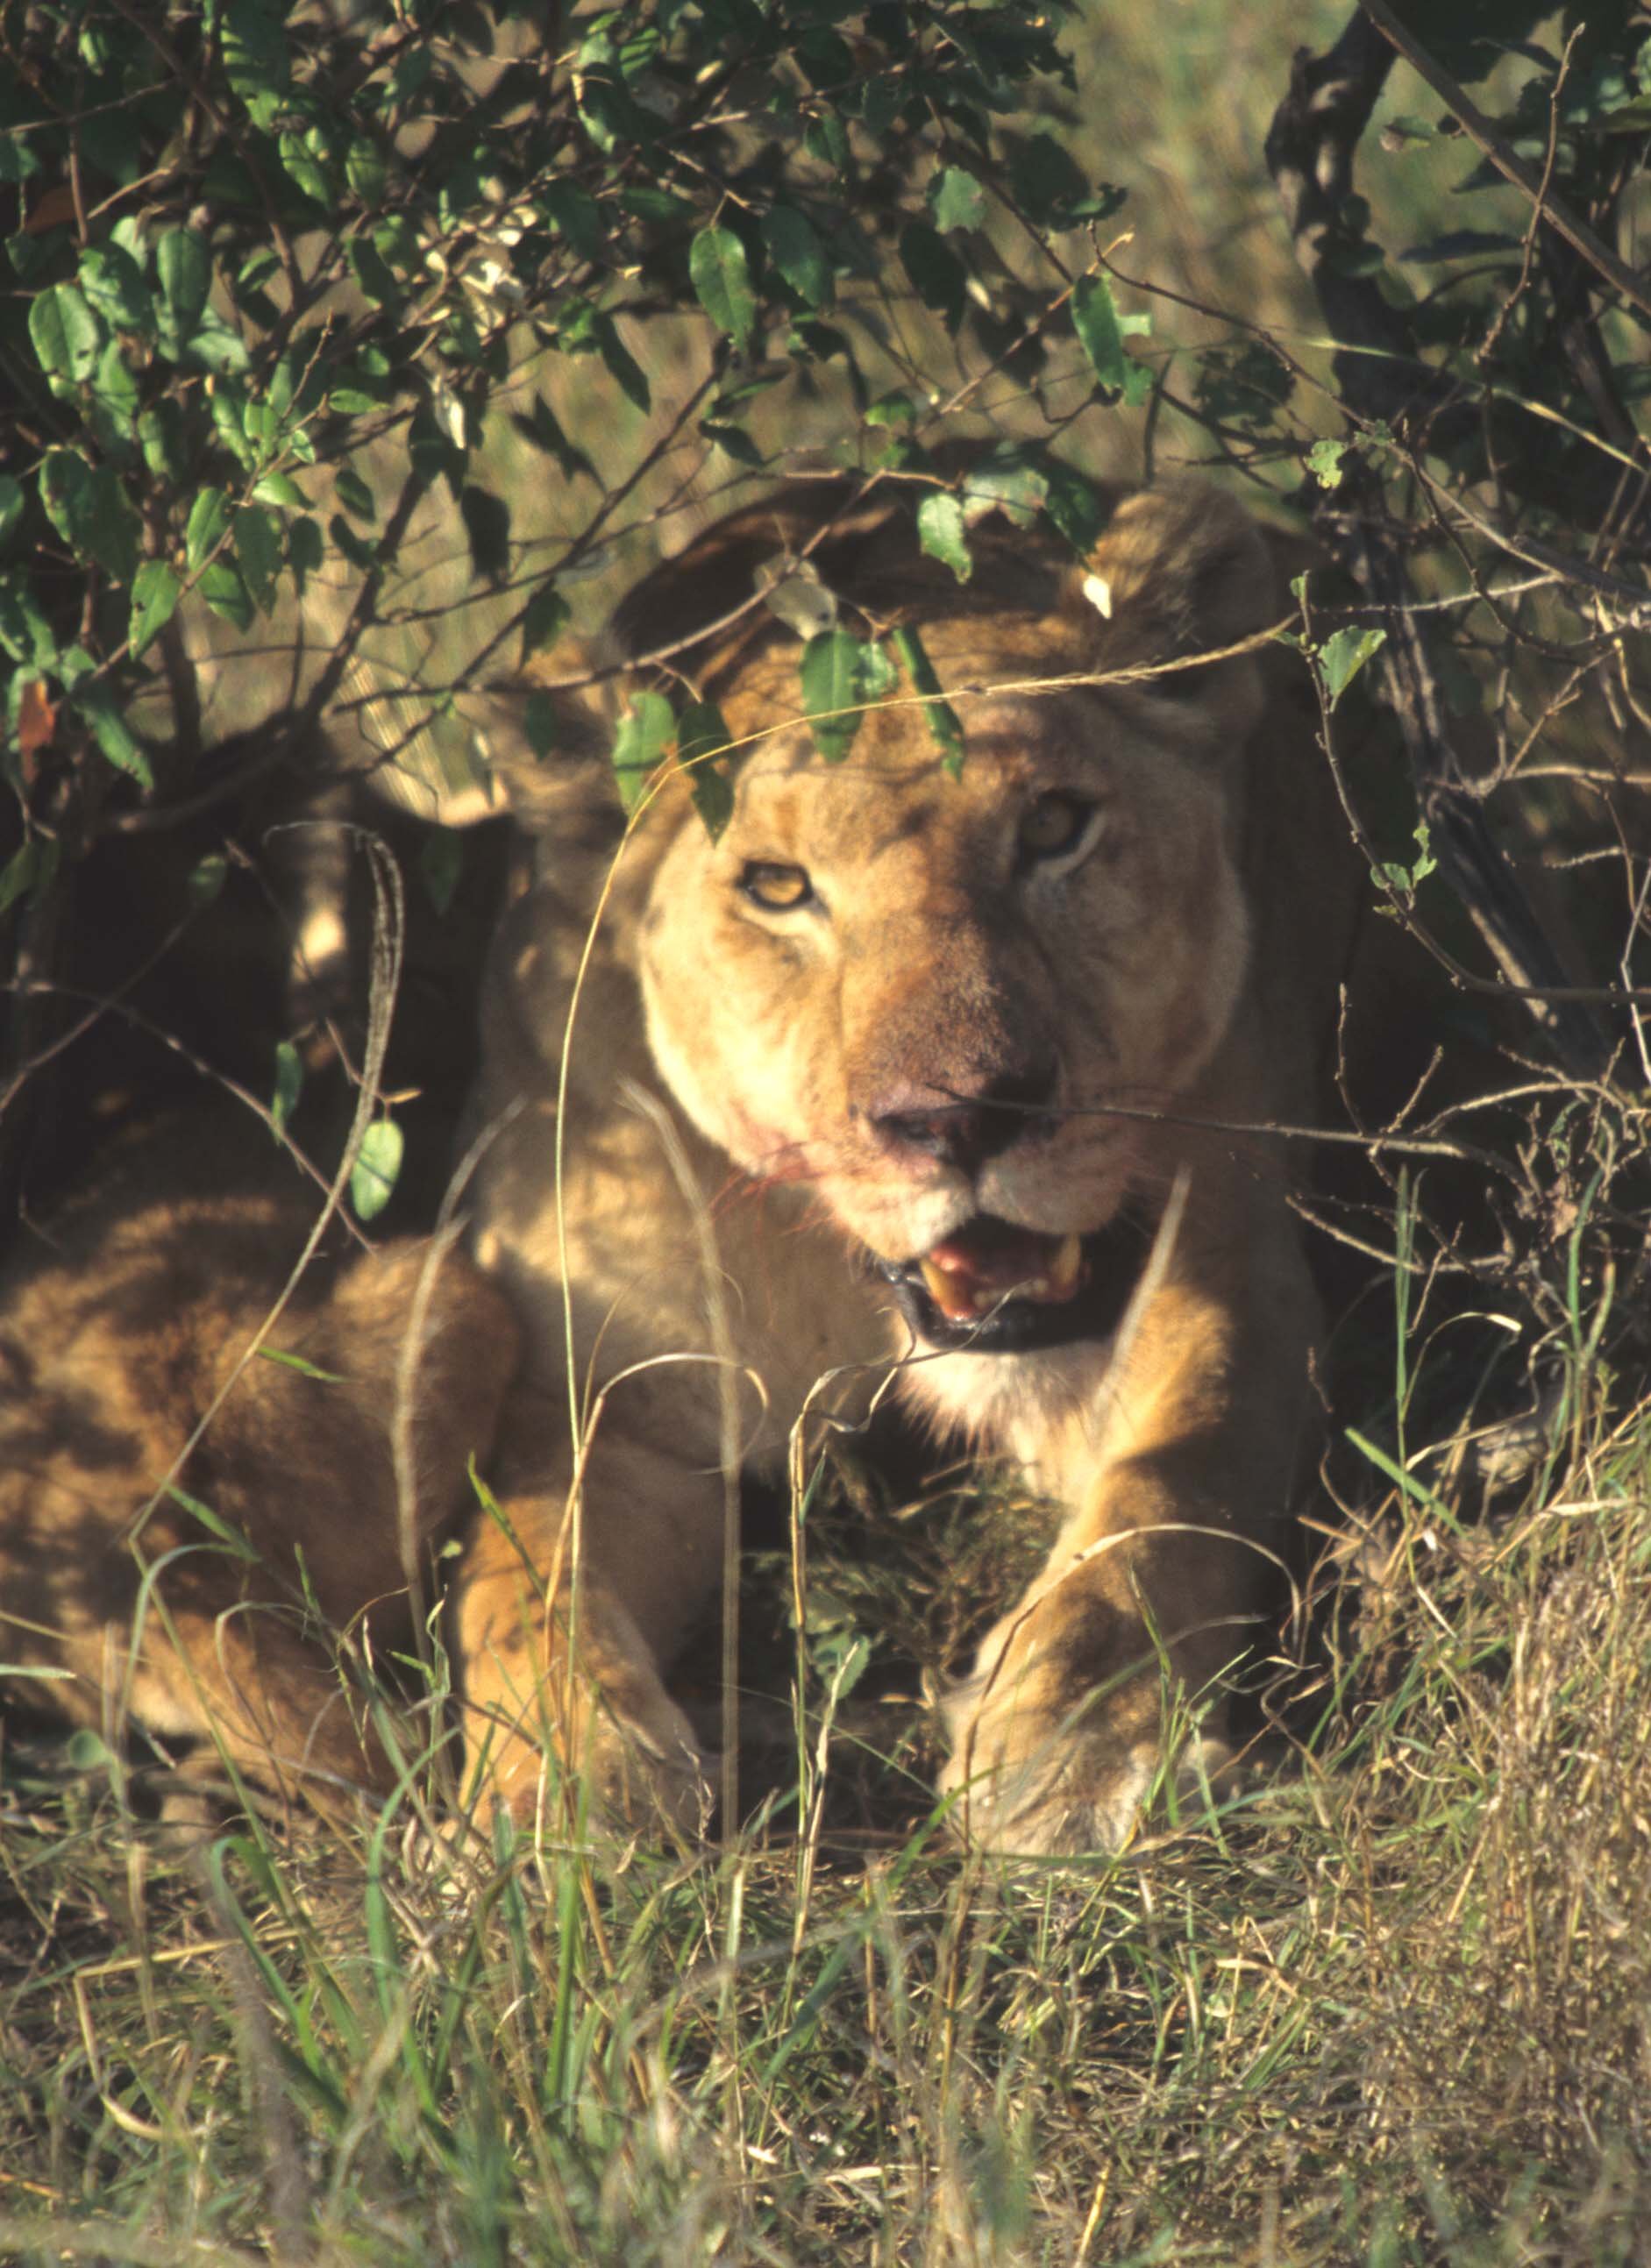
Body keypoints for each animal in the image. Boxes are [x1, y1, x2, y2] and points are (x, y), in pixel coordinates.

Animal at [0, 471, 1363, 1853]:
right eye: (776, 885)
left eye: (1052, 827)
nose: (956, 1120)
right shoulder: (616, 1398)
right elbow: (528, 1580)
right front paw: (569, 1790)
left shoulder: (1231, 1277)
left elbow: (1171, 1490)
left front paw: (1070, 1748)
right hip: (437, 1299)